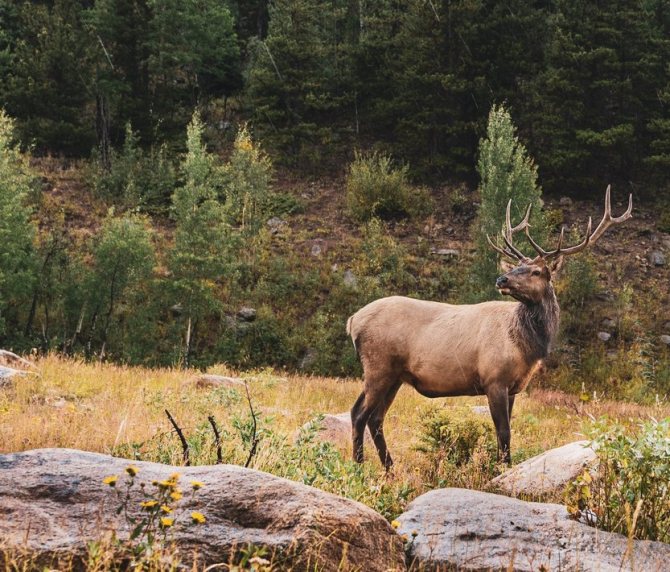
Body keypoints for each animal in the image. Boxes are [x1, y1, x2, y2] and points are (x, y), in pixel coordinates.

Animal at [347, 186, 632, 469]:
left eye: (536, 271)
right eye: (518, 266)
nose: (501, 278)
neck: (526, 348)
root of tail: (353, 321)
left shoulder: (513, 386)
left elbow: (503, 432)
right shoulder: (494, 378)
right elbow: (503, 432)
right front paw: (502, 469)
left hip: (395, 375)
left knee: (375, 418)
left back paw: (389, 469)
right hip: (378, 366)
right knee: (359, 413)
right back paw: (359, 466)